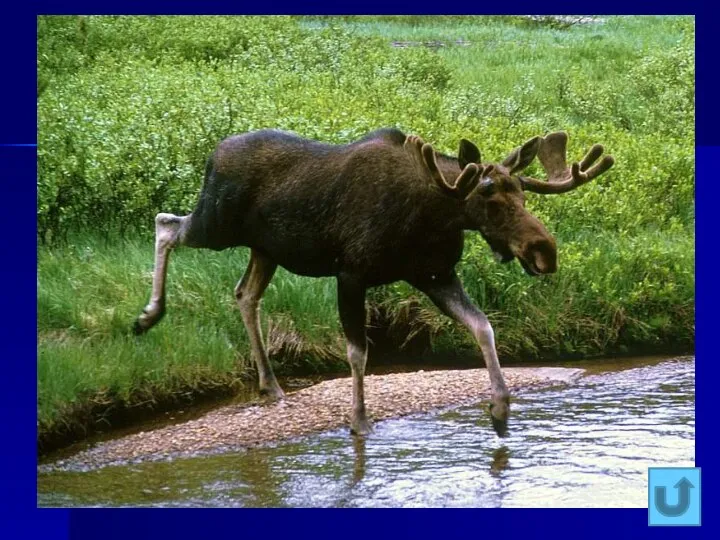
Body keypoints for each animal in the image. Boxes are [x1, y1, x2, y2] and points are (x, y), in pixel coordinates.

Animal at [134, 127, 612, 438]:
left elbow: (484, 326)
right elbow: (358, 352)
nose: (544, 251)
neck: (431, 216)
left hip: (264, 249)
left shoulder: (435, 275)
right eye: (488, 198)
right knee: (165, 224)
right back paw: (147, 316)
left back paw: (270, 384)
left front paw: (499, 408)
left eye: (523, 194)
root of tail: (213, 155)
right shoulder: (351, 273)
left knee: (244, 294)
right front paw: (359, 420)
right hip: (216, 224)